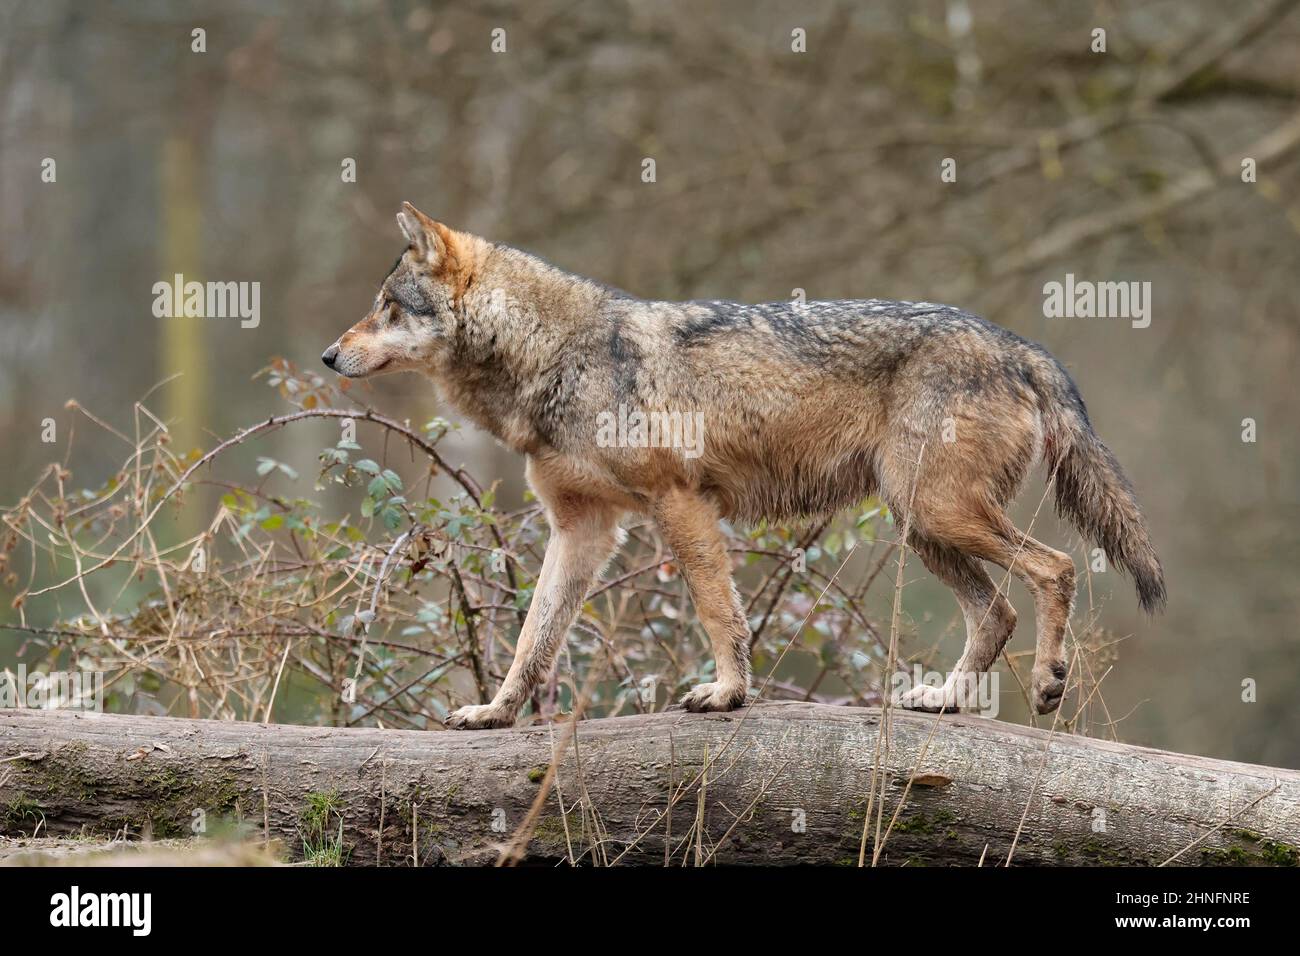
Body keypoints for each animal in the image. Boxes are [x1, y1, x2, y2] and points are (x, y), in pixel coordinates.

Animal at [322, 202, 1165, 729]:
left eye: (388, 307)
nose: (328, 354)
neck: (552, 355)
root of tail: (1022, 344)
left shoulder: (679, 503)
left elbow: (718, 613)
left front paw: (727, 695)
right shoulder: (583, 530)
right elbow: (535, 642)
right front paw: (494, 713)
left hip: (935, 514)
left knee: (1056, 569)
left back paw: (1049, 682)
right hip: (921, 524)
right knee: (998, 610)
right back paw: (947, 699)